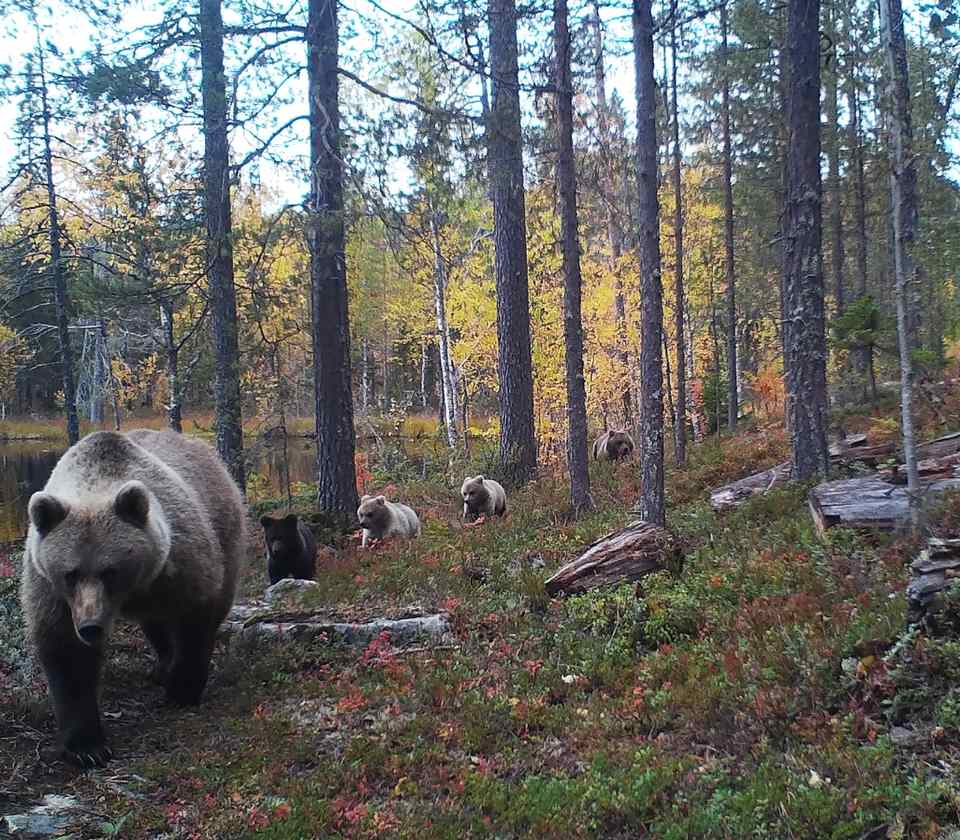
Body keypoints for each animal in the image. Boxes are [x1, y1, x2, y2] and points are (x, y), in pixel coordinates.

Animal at [20, 429, 246, 767]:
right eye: (71, 573)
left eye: (110, 571)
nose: (91, 627)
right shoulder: (49, 588)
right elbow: (66, 651)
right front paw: (87, 747)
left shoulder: (180, 561)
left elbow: (196, 617)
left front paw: (182, 690)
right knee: (156, 625)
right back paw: (161, 665)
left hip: (224, 525)